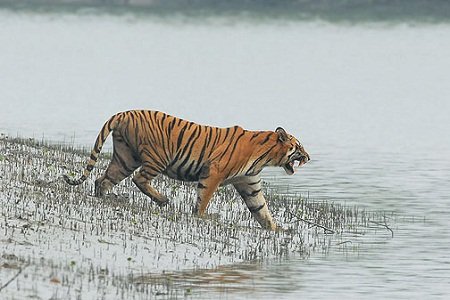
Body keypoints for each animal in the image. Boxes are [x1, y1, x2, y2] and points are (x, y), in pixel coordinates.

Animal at [62, 110, 310, 230]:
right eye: (298, 147)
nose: (308, 158)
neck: (264, 157)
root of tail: (124, 113)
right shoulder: (214, 172)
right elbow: (204, 198)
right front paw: (203, 216)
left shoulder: (249, 183)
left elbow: (261, 209)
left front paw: (277, 230)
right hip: (157, 157)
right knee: (139, 179)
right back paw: (163, 200)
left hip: (125, 157)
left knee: (103, 179)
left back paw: (105, 197)